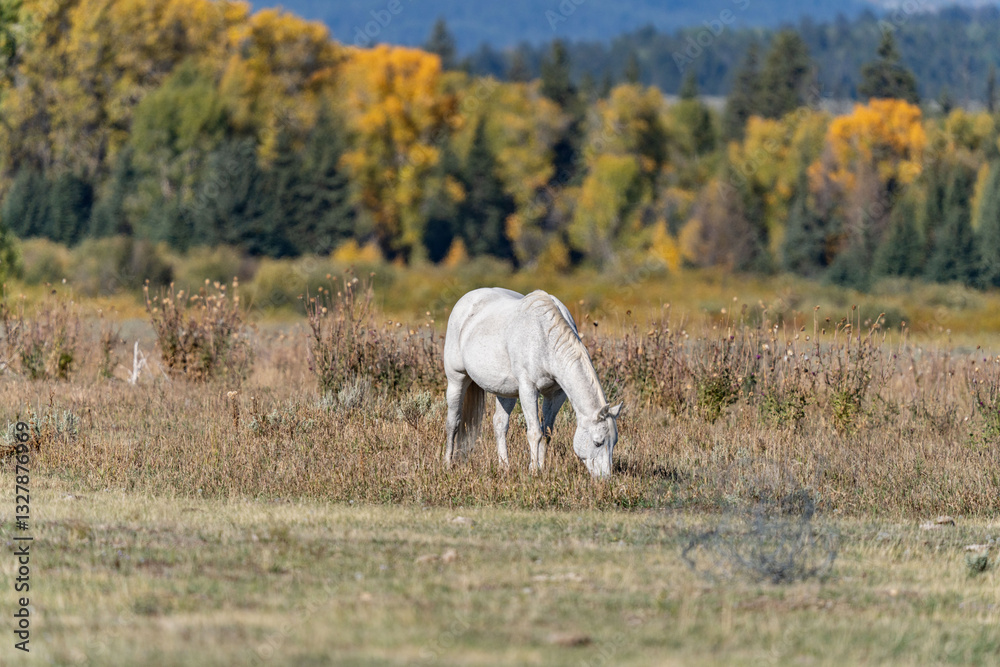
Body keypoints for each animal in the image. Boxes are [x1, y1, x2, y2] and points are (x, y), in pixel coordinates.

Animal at [442, 287, 623, 478]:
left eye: (614, 442)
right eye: (598, 442)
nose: (605, 478)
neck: (545, 337)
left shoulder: (555, 395)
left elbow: (546, 432)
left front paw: (541, 468)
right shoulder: (528, 389)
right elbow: (535, 432)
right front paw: (533, 471)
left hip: (505, 392)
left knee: (499, 424)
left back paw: (504, 466)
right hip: (456, 379)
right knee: (453, 422)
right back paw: (447, 464)